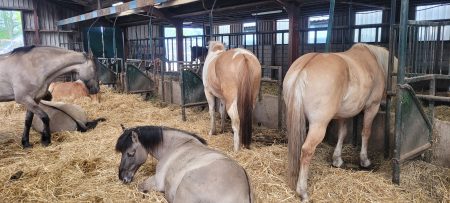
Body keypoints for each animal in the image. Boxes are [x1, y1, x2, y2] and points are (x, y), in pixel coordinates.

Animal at [284, 43, 398, 201]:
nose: (387, 104)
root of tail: (304, 67)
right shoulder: (372, 107)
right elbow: (366, 132)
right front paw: (364, 160)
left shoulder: (344, 114)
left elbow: (342, 134)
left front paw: (337, 160)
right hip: (318, 125)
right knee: (307, 151)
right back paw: (303, 192)